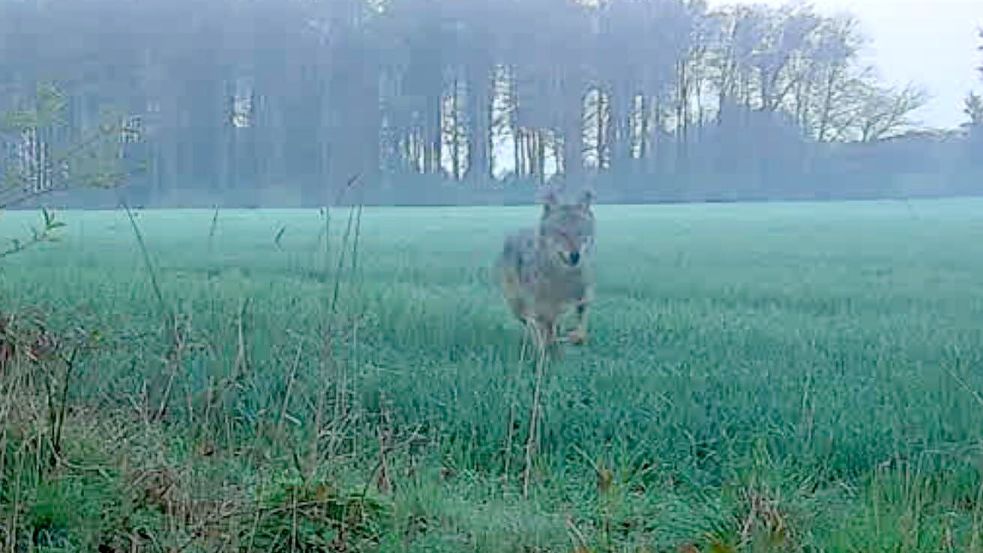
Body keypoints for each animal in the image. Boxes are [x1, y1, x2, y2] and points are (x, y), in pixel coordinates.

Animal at [497, 189, 596, 352]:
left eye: (580, 233)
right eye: (561, 233)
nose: (575, 255)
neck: (562, 278)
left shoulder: (583, 301)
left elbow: (580, 331)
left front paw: (574, 338)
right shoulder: (539, 313)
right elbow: (542, 340)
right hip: (518, 308)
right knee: (534, 329)